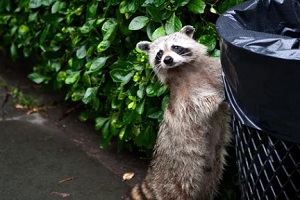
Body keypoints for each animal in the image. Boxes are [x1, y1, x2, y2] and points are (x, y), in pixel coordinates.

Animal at [125, 25, 231, 199]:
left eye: (175, 47)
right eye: (159, 53)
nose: (167, 60)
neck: (182, 68)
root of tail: (153, 176)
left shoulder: (212, 71)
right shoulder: (183, 100)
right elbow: (197, 107)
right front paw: (217, 99)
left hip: (214, 168)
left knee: (209, 185)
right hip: (180, 172)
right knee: (181, 190)